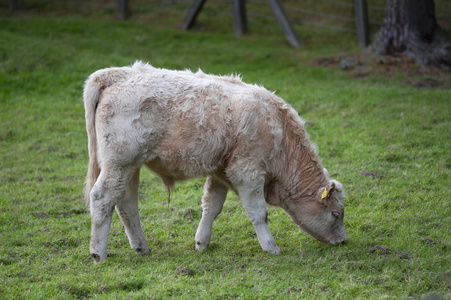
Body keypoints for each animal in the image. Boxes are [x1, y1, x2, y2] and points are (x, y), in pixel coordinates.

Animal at [83, 61, 348, 262]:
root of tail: (117, 73)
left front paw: (202, 242)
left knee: (127, 204)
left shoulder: (221, 172)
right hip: (120, 163)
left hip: (130, 167)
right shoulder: (247, 172)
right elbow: (258, 213)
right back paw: (98, 254)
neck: (278, 128)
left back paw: (141, 247)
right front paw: (271, 246)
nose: (344, 241)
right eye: (336, 213)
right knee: (102, 198)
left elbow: (212, 206)